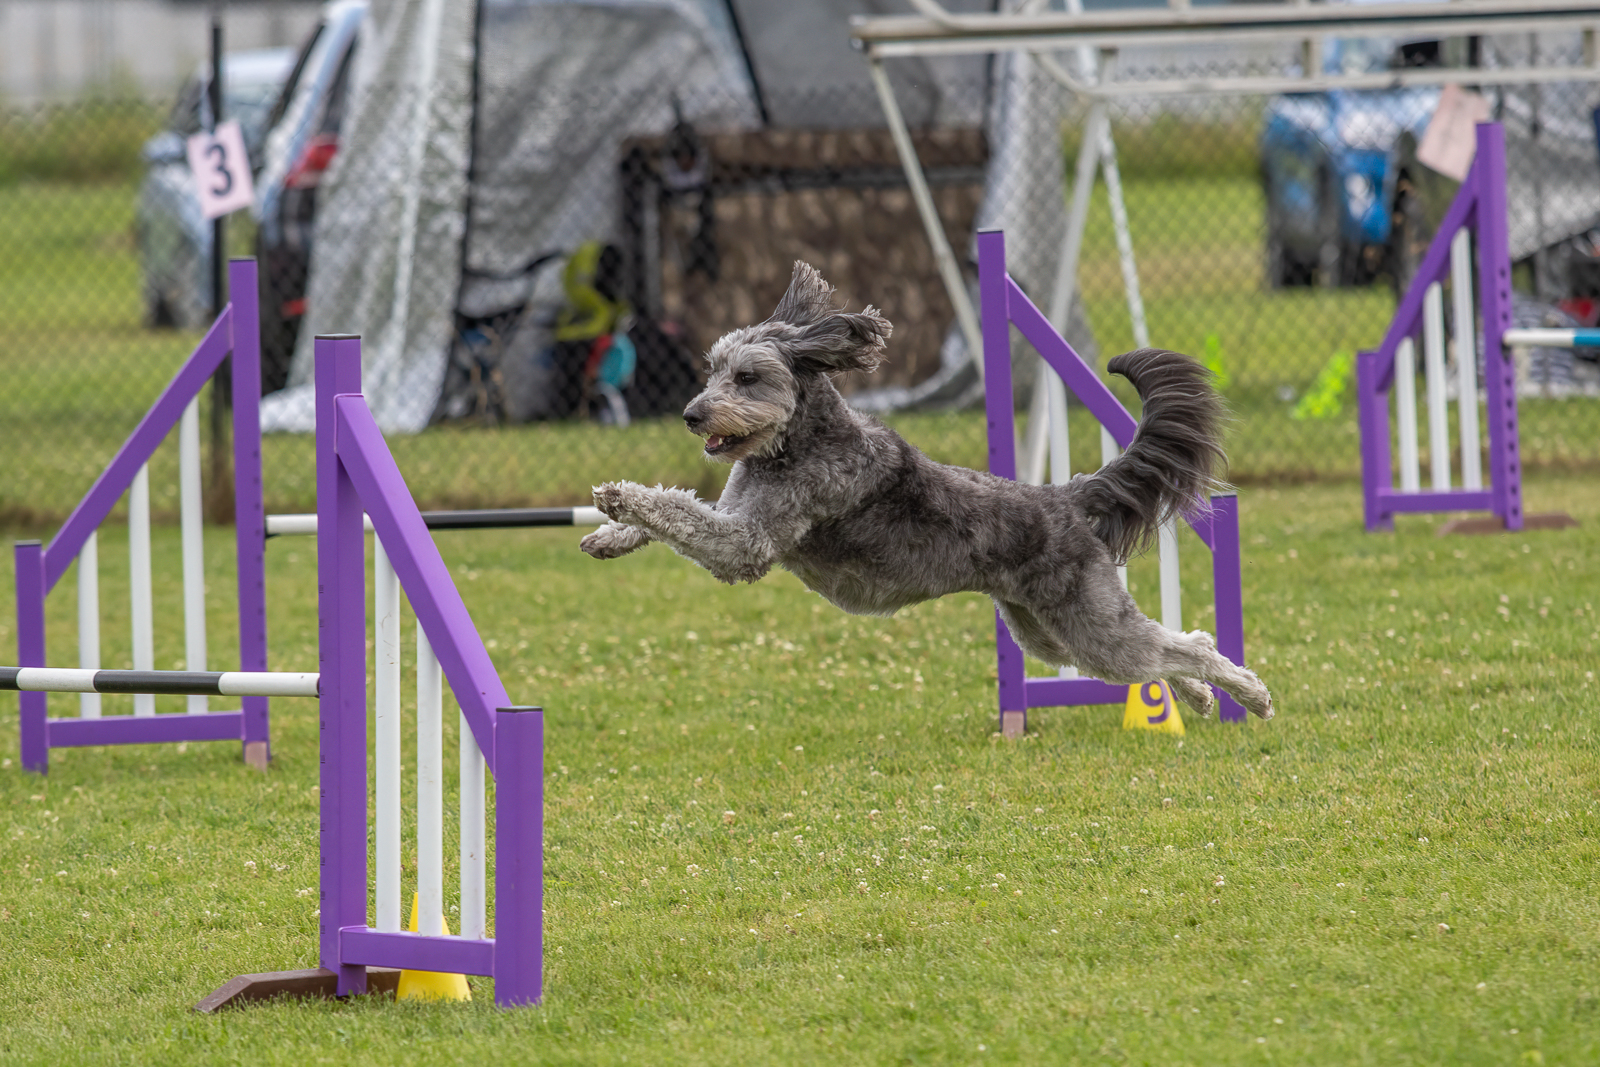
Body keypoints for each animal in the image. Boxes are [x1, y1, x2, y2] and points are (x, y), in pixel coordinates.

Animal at [580, 263, 1274, 720]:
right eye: (712, 370)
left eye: (747, 377)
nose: (692, 414)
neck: (795, 445)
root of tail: (1065, 499)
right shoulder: (731, 512)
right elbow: (681, 510)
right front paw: (609, 534)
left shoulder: (747, 545)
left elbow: (678, 513)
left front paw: (618, 494)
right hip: (1048, 633)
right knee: (1175, 648)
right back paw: (1197, 696)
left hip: (1088, 624)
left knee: (1179, 648)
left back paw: (1250, 694)